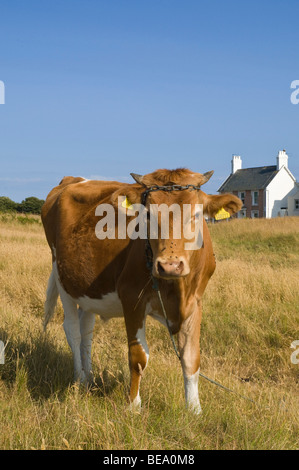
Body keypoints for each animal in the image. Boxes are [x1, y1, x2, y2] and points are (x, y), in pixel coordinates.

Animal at [42, 168, 243, 412]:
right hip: (62, 277)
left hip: (87, 287)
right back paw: (79, 379)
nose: (170, 265)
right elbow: (138, 357)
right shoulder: (132, 299)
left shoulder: (195, 302)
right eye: (147, 215)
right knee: (73, 330)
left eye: (196, 215)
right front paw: (133, 406)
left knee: (86, 329)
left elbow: (191, 358)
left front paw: (194, 409)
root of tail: (72, 180)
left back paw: (89, 377)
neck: (178, 289)